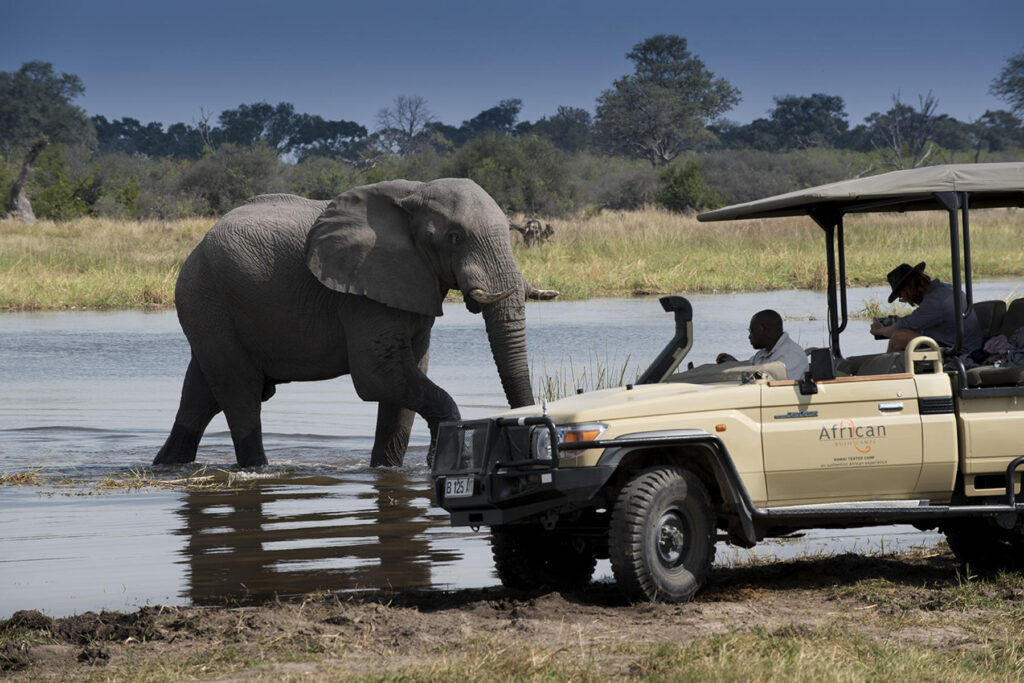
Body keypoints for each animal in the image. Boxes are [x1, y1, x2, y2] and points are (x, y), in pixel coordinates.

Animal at [154, 178, 557, 471]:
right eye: (454, 238)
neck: (415, 192)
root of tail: (198, 245)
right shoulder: (361, 291)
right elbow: (377, 375)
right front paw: (440, 457)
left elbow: (408, 378)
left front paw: (388, 470)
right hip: (208, 301)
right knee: (241, 393)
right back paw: (258, 469)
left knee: (201, 395)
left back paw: (168, 466)